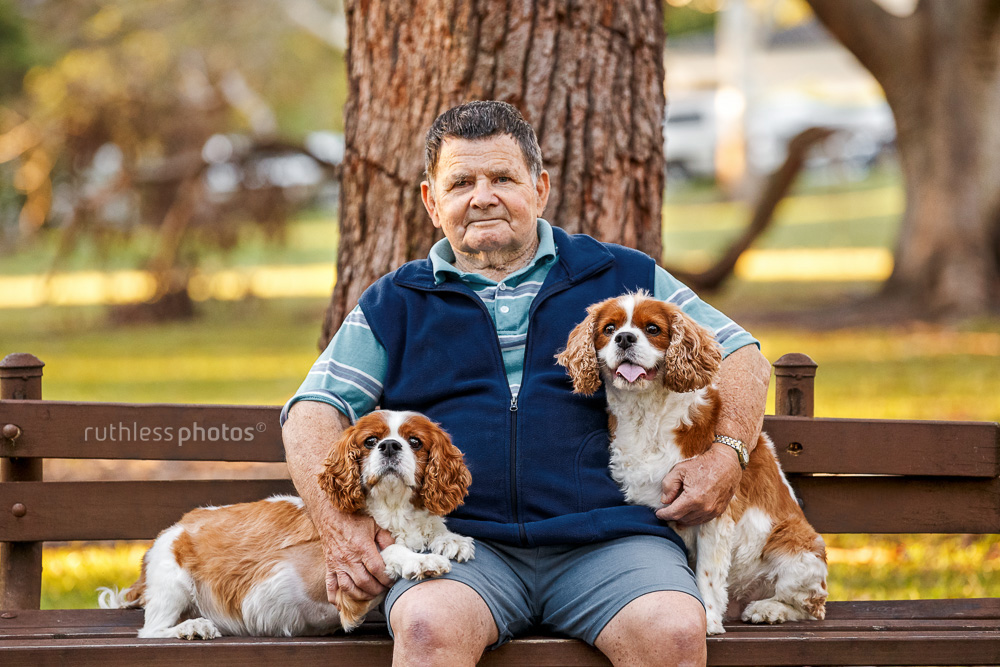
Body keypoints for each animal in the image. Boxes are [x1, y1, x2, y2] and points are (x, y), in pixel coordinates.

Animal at [99, 410, 474, 640]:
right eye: (370, 441)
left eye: (415, 442)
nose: (390, 445)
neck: (392, 508)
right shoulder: (338, 579)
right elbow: (388, 549)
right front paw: (421, 561)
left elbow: (432, 531)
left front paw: (449, 539)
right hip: (172, 582)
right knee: (151, 630)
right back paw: (190, 627)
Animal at [556, 292, 828, 636]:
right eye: (609, 328)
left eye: (652, 328)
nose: (625, 338)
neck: (645, 413)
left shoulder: (711, 510)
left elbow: (707, 576)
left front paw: (708, 619)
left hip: (794, 548)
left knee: (809, 607)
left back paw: (767, 609)